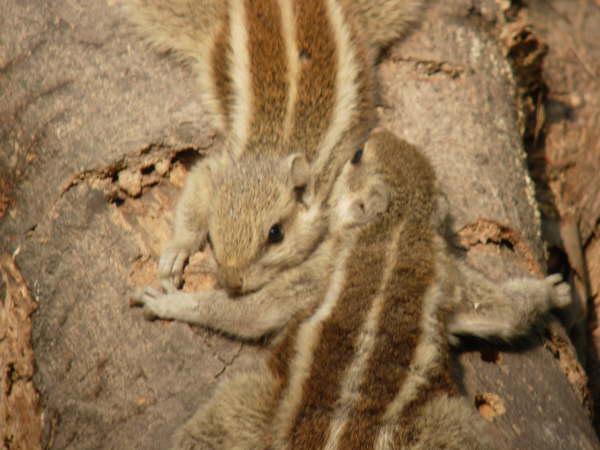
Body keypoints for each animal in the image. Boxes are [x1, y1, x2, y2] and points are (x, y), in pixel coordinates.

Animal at [125, 0, 426, 294]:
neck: (275, 147)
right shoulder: (220, 166)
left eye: (275, 234)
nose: (232, 283)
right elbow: (197, 188)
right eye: (211, 231)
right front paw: (177, 251)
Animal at [132, 128, 572, 448]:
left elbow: (251, 313)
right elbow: (503, 310)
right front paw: (555, 292)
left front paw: (171, 302)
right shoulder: (451, 275)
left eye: (359, 155)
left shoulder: (321, 266)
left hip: (243, 402)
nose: (377, 130)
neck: (398, 225)